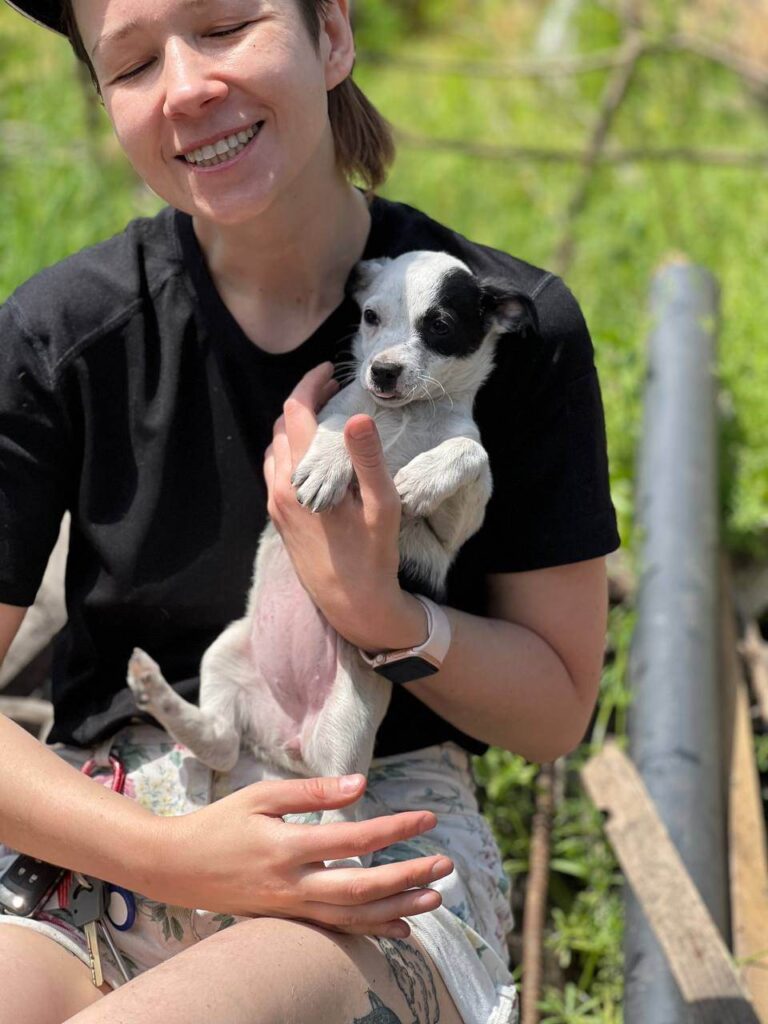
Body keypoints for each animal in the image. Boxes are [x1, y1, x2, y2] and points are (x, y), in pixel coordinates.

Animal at [126, 251, 536, 827]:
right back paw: (153, 687)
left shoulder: (448, 537)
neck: (403, 416)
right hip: (226, 651)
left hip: (348, 723)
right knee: (222, 742)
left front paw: (418, 478)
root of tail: (287, 747)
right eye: (369, 316)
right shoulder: (336, 413)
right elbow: (343, 424)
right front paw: (328, 464)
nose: (382, 371)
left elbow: (470, 453)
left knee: (343, 815)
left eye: (440, 326)